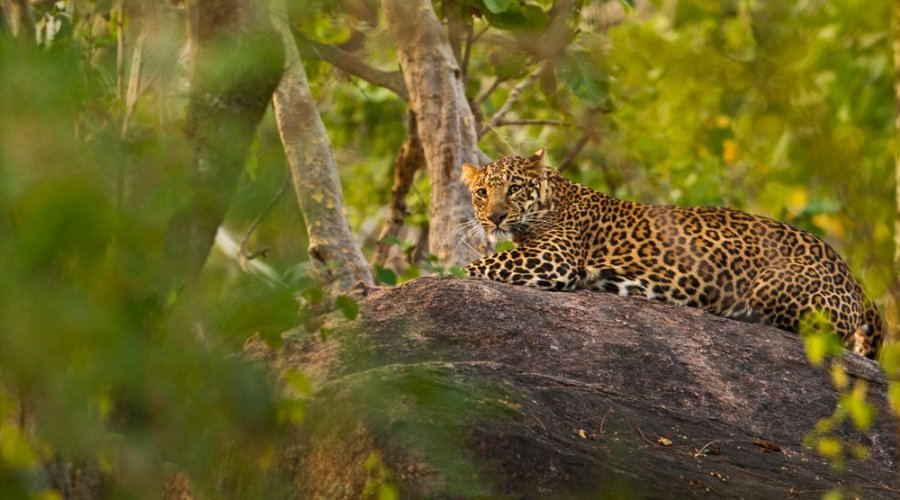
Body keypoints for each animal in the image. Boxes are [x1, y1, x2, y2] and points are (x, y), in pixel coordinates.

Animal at [461, 149, 883, 359]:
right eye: (482, 192)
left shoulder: (552, 258)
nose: (495, 217)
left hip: (772, 286)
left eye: (514, 188)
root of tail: (853, 278)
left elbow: (474, 266)